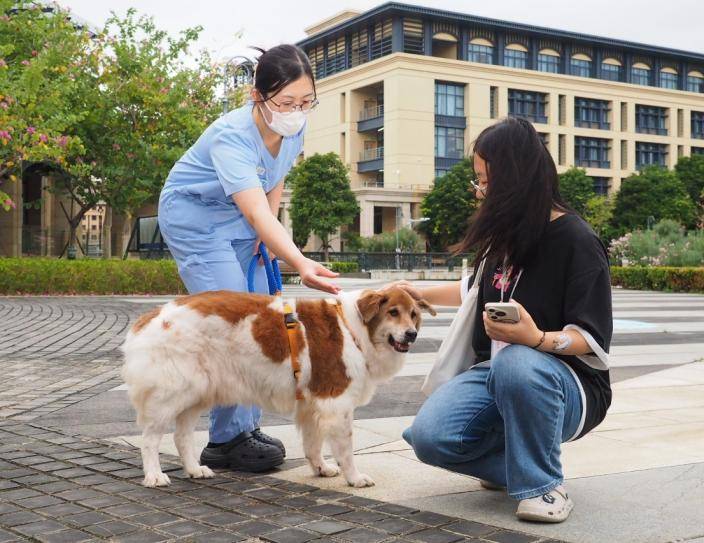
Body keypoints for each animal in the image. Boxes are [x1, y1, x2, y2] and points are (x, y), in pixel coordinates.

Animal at [121, 288, 434, 488]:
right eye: (393, 312)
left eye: (413, 314)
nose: (411, 334)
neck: (353, 328)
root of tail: (152, 316)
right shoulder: (336, 403)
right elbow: (345, 449)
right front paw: (354, 478)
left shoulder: (312, 404)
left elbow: (313, 444)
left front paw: (320, 468)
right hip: (171, 395)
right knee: (150, 439)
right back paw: (154, 475)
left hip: (196, 394)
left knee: (182, 436)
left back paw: (194, 469)